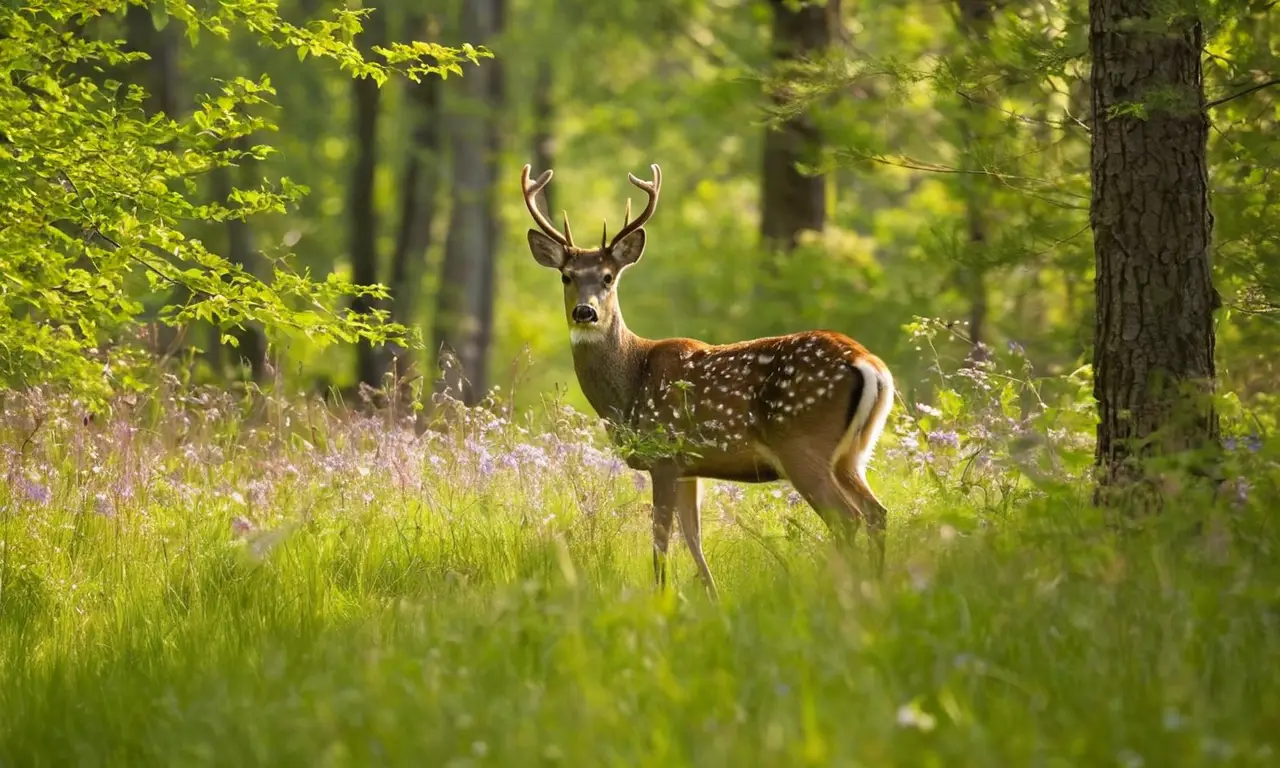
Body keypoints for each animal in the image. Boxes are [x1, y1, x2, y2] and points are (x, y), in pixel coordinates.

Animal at [520, 163, 895, 600]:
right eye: (566, 276)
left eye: (609, 277)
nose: (585, 312)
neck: (630, 384)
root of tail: (869, 363)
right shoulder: (689, 466)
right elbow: (693, 537)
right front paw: (711, 599)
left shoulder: (663, 454)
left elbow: (661, 540)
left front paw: (662, 598)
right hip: (853, 453)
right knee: (877, 512)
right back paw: (875, 586)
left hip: (803, 442)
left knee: (847, 518)